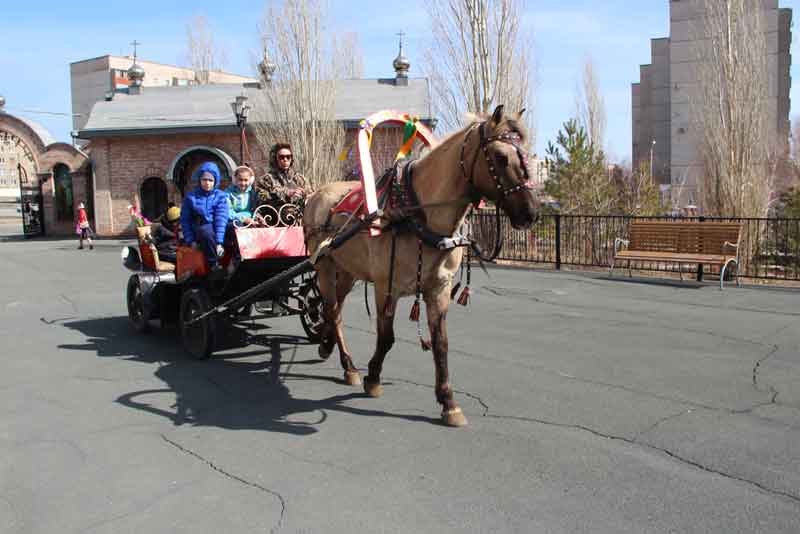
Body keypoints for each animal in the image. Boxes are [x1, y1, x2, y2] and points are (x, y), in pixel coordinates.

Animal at [304, 107, 540, 430]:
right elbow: (387, 337)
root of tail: (315, 195)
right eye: (501, 157)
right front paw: (373, 377)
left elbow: (441, 343)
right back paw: (348, 363)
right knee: (332, 310)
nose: (531, 213)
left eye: (525, 153)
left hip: (348, 271)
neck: (417, 214)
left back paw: (331, 349)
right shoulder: (385, 286)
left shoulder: (438, 288)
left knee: (335, 311)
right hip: (326, 267)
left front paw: (448, 401)